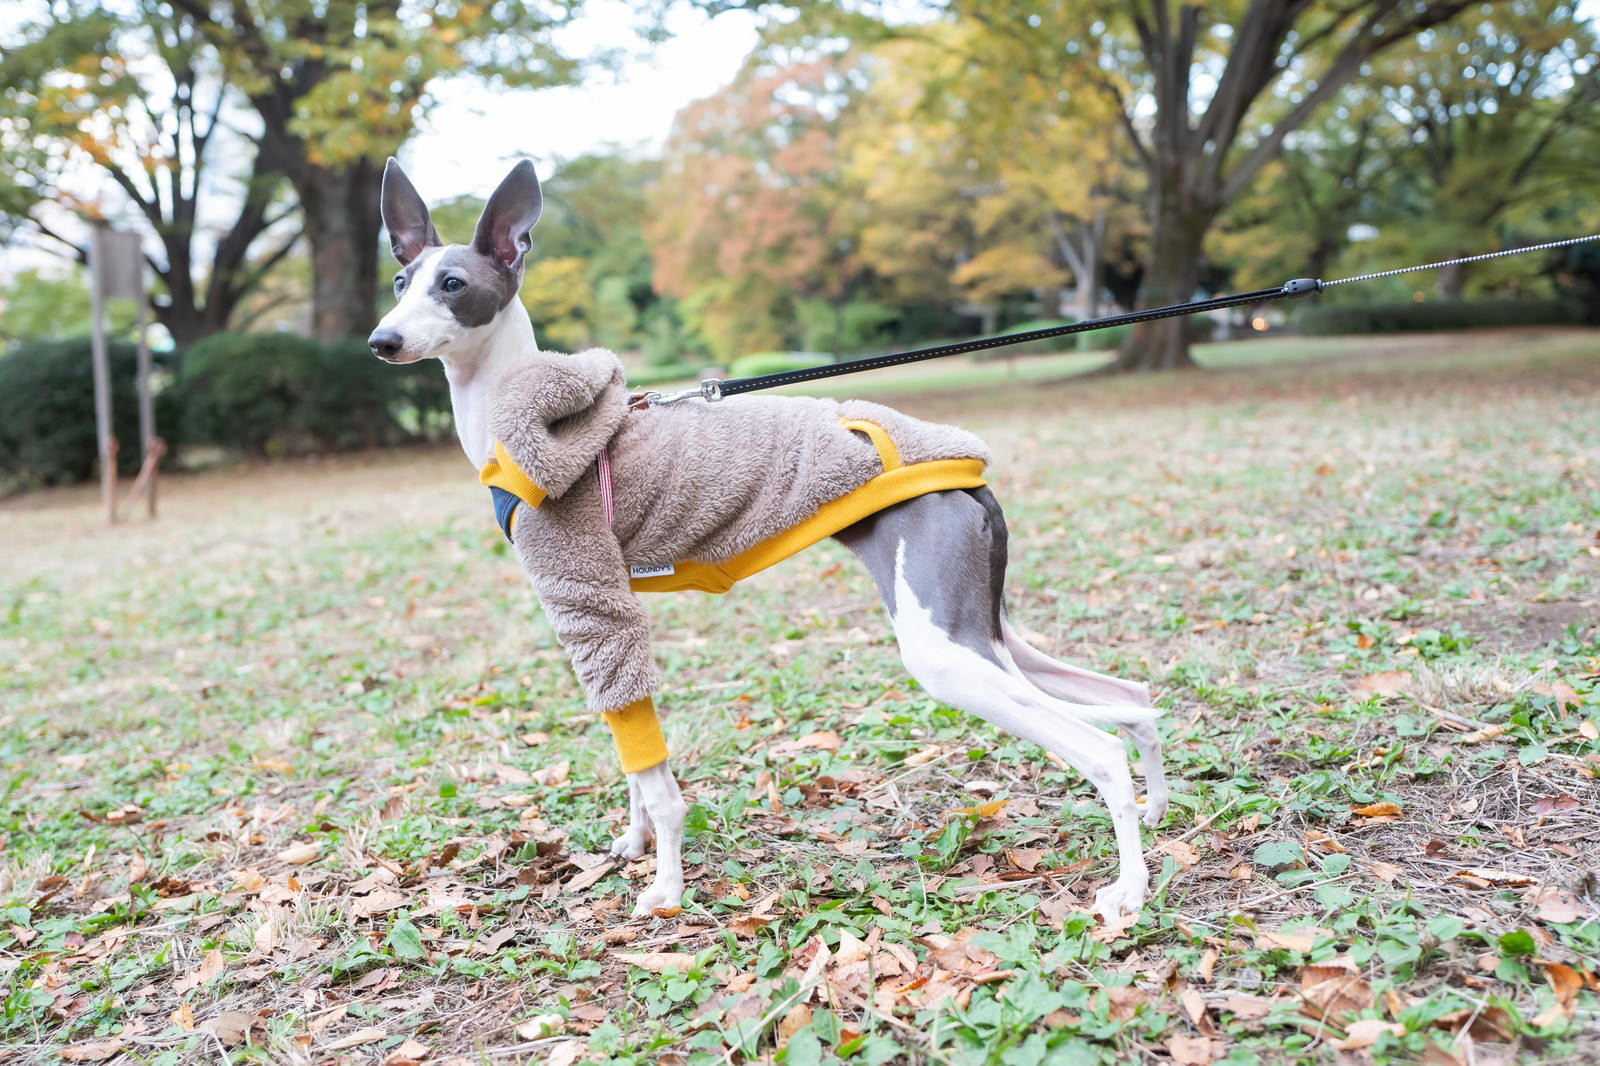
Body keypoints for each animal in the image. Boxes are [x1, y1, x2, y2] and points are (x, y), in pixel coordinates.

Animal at [368, 156, 1171, 915]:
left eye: (451, 283)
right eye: (401, 278)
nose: (382, 340)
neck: (520, 416)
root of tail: (970, 475)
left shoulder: (590, 603)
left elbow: (657, 780)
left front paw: (666, 888)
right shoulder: (606, 619)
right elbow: (632, 757)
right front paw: (633, 843)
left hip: (943, 651)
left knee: (1101, 746)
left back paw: (1128, 889)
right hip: (985, 630)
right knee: (1131, 698)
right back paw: (1157, 806)